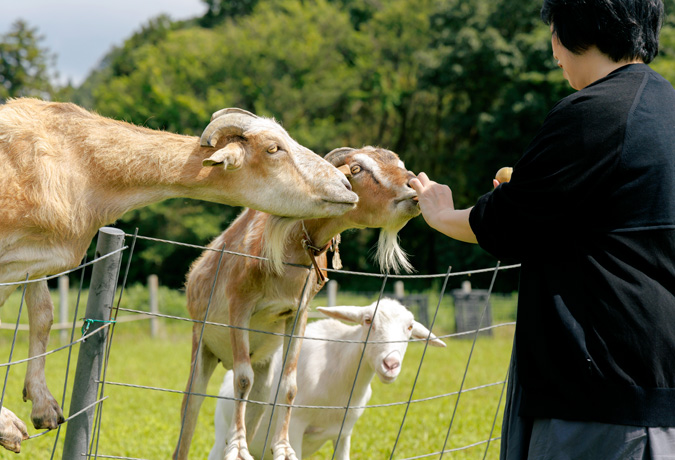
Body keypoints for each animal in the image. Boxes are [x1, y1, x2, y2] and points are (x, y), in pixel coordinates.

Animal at [0, 98, 360, 452]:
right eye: (273, 148)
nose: (346, 186)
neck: (82, 163)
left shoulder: (35, 255)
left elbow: (43, 315)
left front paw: (43, 407)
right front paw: (9, 425)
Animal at [173, 146, 418, 460]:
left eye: (400, 163)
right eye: (357, 169)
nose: (413, 188)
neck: (286, 251)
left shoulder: (297, 312)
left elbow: (289, 385)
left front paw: (282, 447)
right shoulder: (238, 306)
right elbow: (242, 379)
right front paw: (238, 448)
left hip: (262, 365)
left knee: (258, 398)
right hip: (202, 343)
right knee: (190, 407)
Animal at [209, 298, 446, 460]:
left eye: (409, 328)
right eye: (368, 320)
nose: (391, 364)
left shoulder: (344, 432)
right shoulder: (295, 426)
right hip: (222, 435)